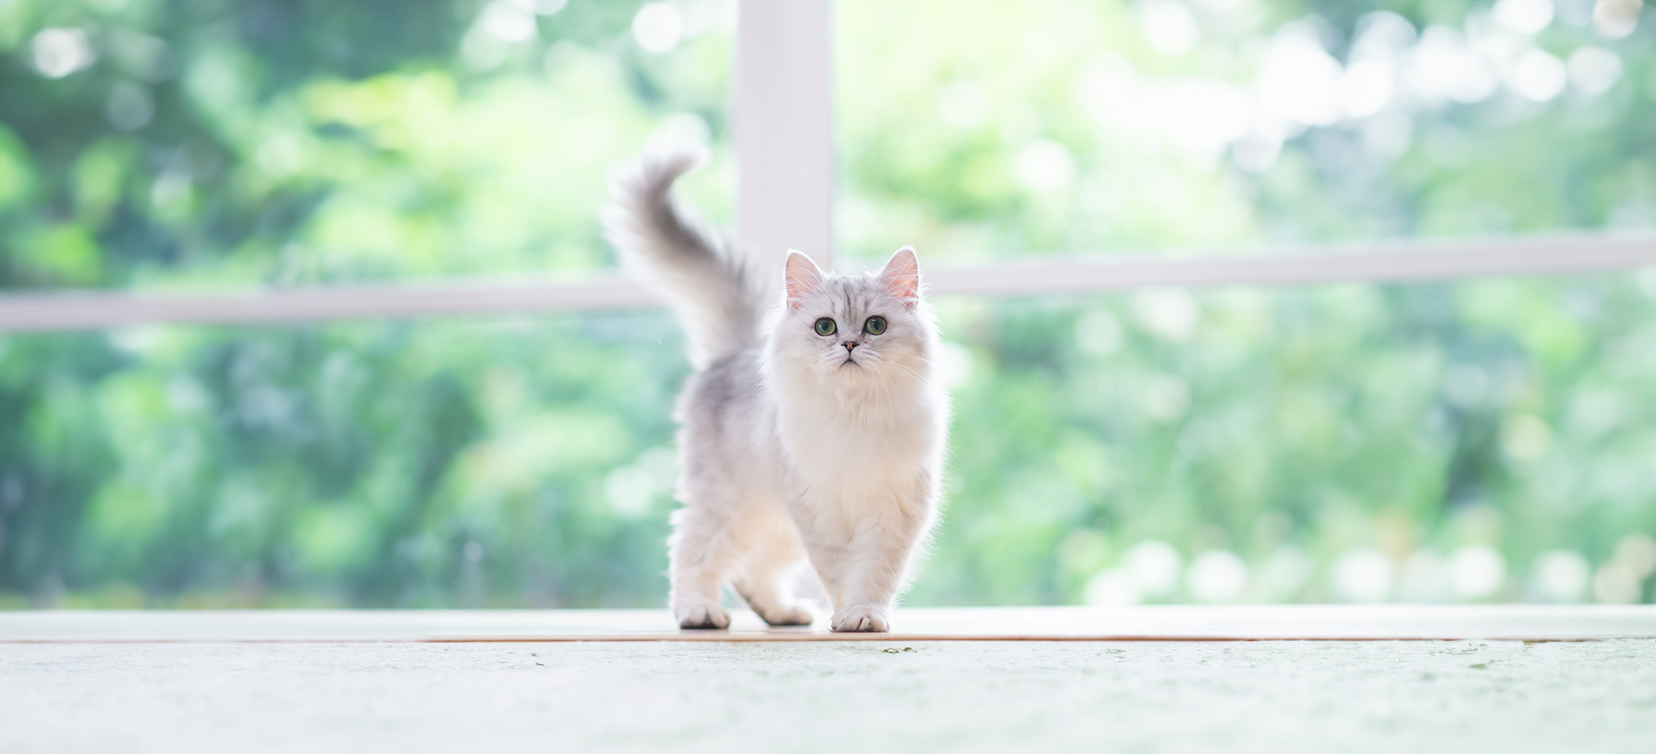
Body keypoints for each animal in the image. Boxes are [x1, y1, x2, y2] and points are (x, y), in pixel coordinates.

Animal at [606, 145, 947, 633]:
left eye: (875, 326)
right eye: (825, 327)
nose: (848, 344)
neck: (853, 414)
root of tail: (734, 353)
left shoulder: (891, 512)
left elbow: (872, 574)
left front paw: (862, 616)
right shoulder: (818, 512)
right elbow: (838, 572)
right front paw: (847, 617)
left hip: (773, 521)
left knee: (753, 571)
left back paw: (782, 614)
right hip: (727, 504)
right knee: (692, 552)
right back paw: (699, 612)